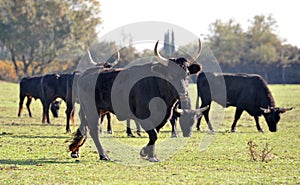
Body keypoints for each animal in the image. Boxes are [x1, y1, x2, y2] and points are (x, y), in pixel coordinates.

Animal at [69, 39, 209, 161]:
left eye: (187, 74)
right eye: (170, 75)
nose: (183, 93)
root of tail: (86, 73)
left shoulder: (162, 117)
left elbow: (155, 134)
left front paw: (151, 155)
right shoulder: (143, 116)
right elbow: (154, 134)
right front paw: (145, 153)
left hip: (97, 111)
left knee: (84, 127)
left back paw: (75, 151)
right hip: (91, 110)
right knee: (93, 130)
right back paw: (103, 155)